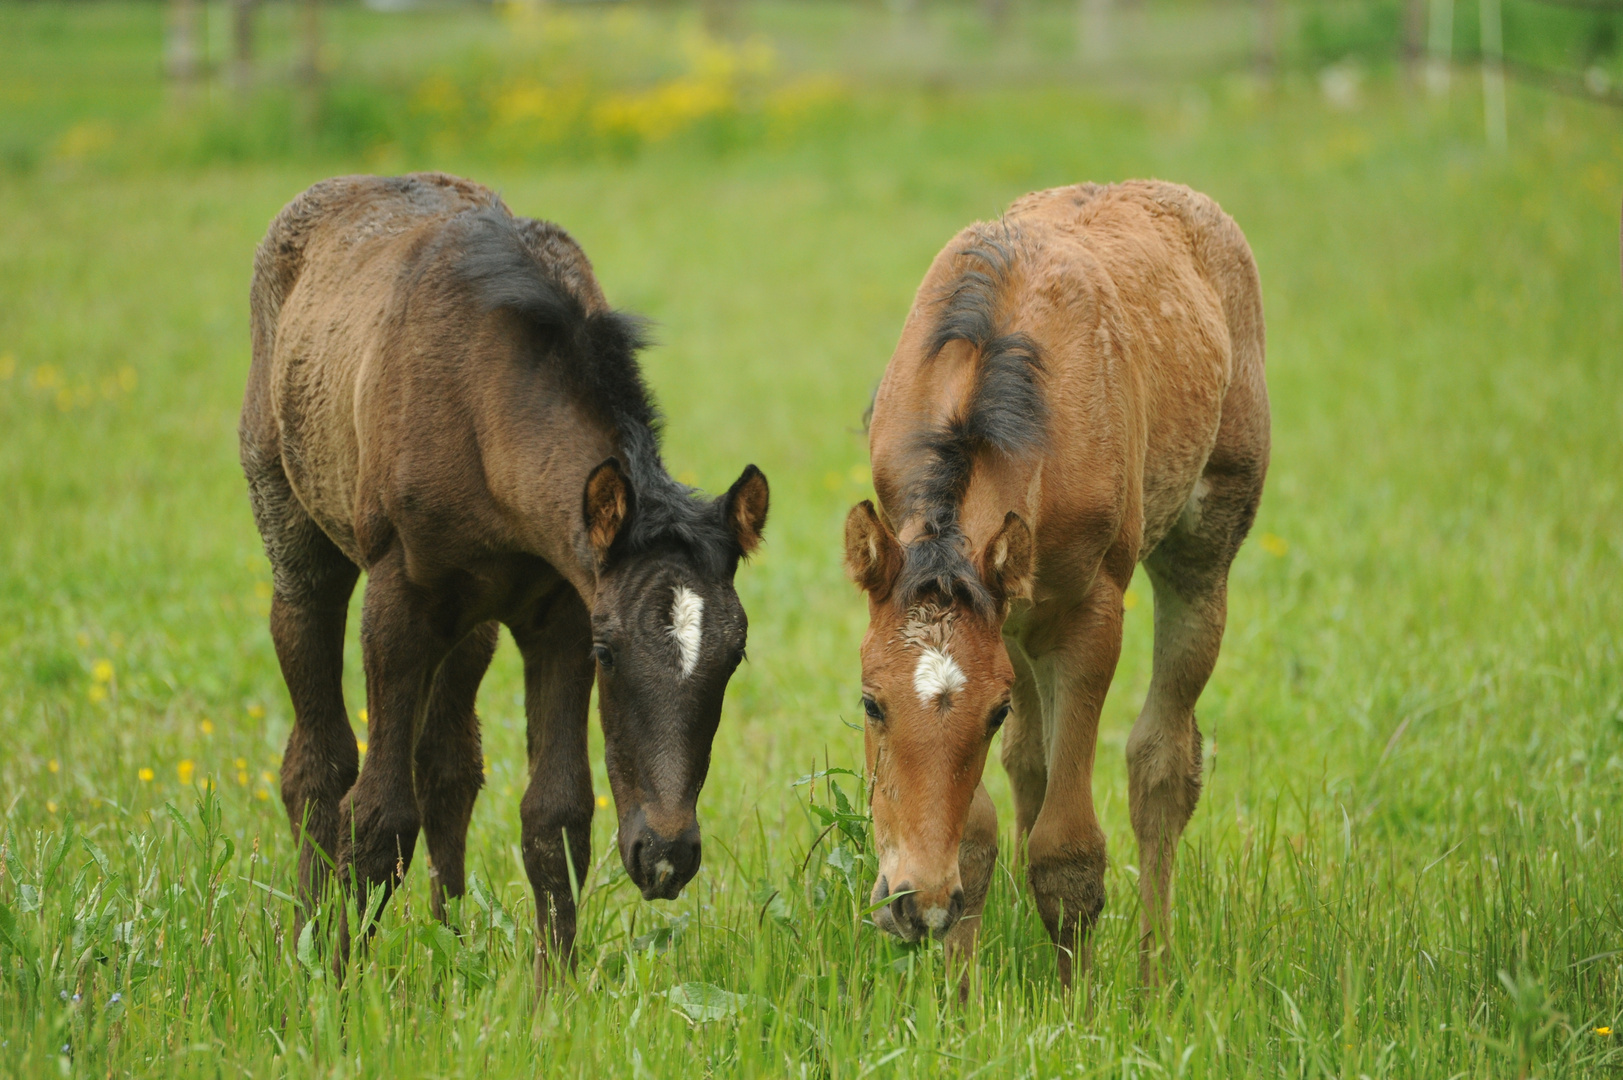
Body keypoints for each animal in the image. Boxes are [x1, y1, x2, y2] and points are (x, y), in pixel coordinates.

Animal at [850, 178, 1265, 987]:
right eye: (870, 703)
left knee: (1160, 764)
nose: (915, 903)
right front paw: (958, 993)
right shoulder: (998, 617)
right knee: (1032, 768)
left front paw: (1077, 1002)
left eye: (989, 713)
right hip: (1018, 618)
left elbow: (1068, 851)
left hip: (1203, 549)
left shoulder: (1089, 617)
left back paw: (1154, 971)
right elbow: (980, 831)